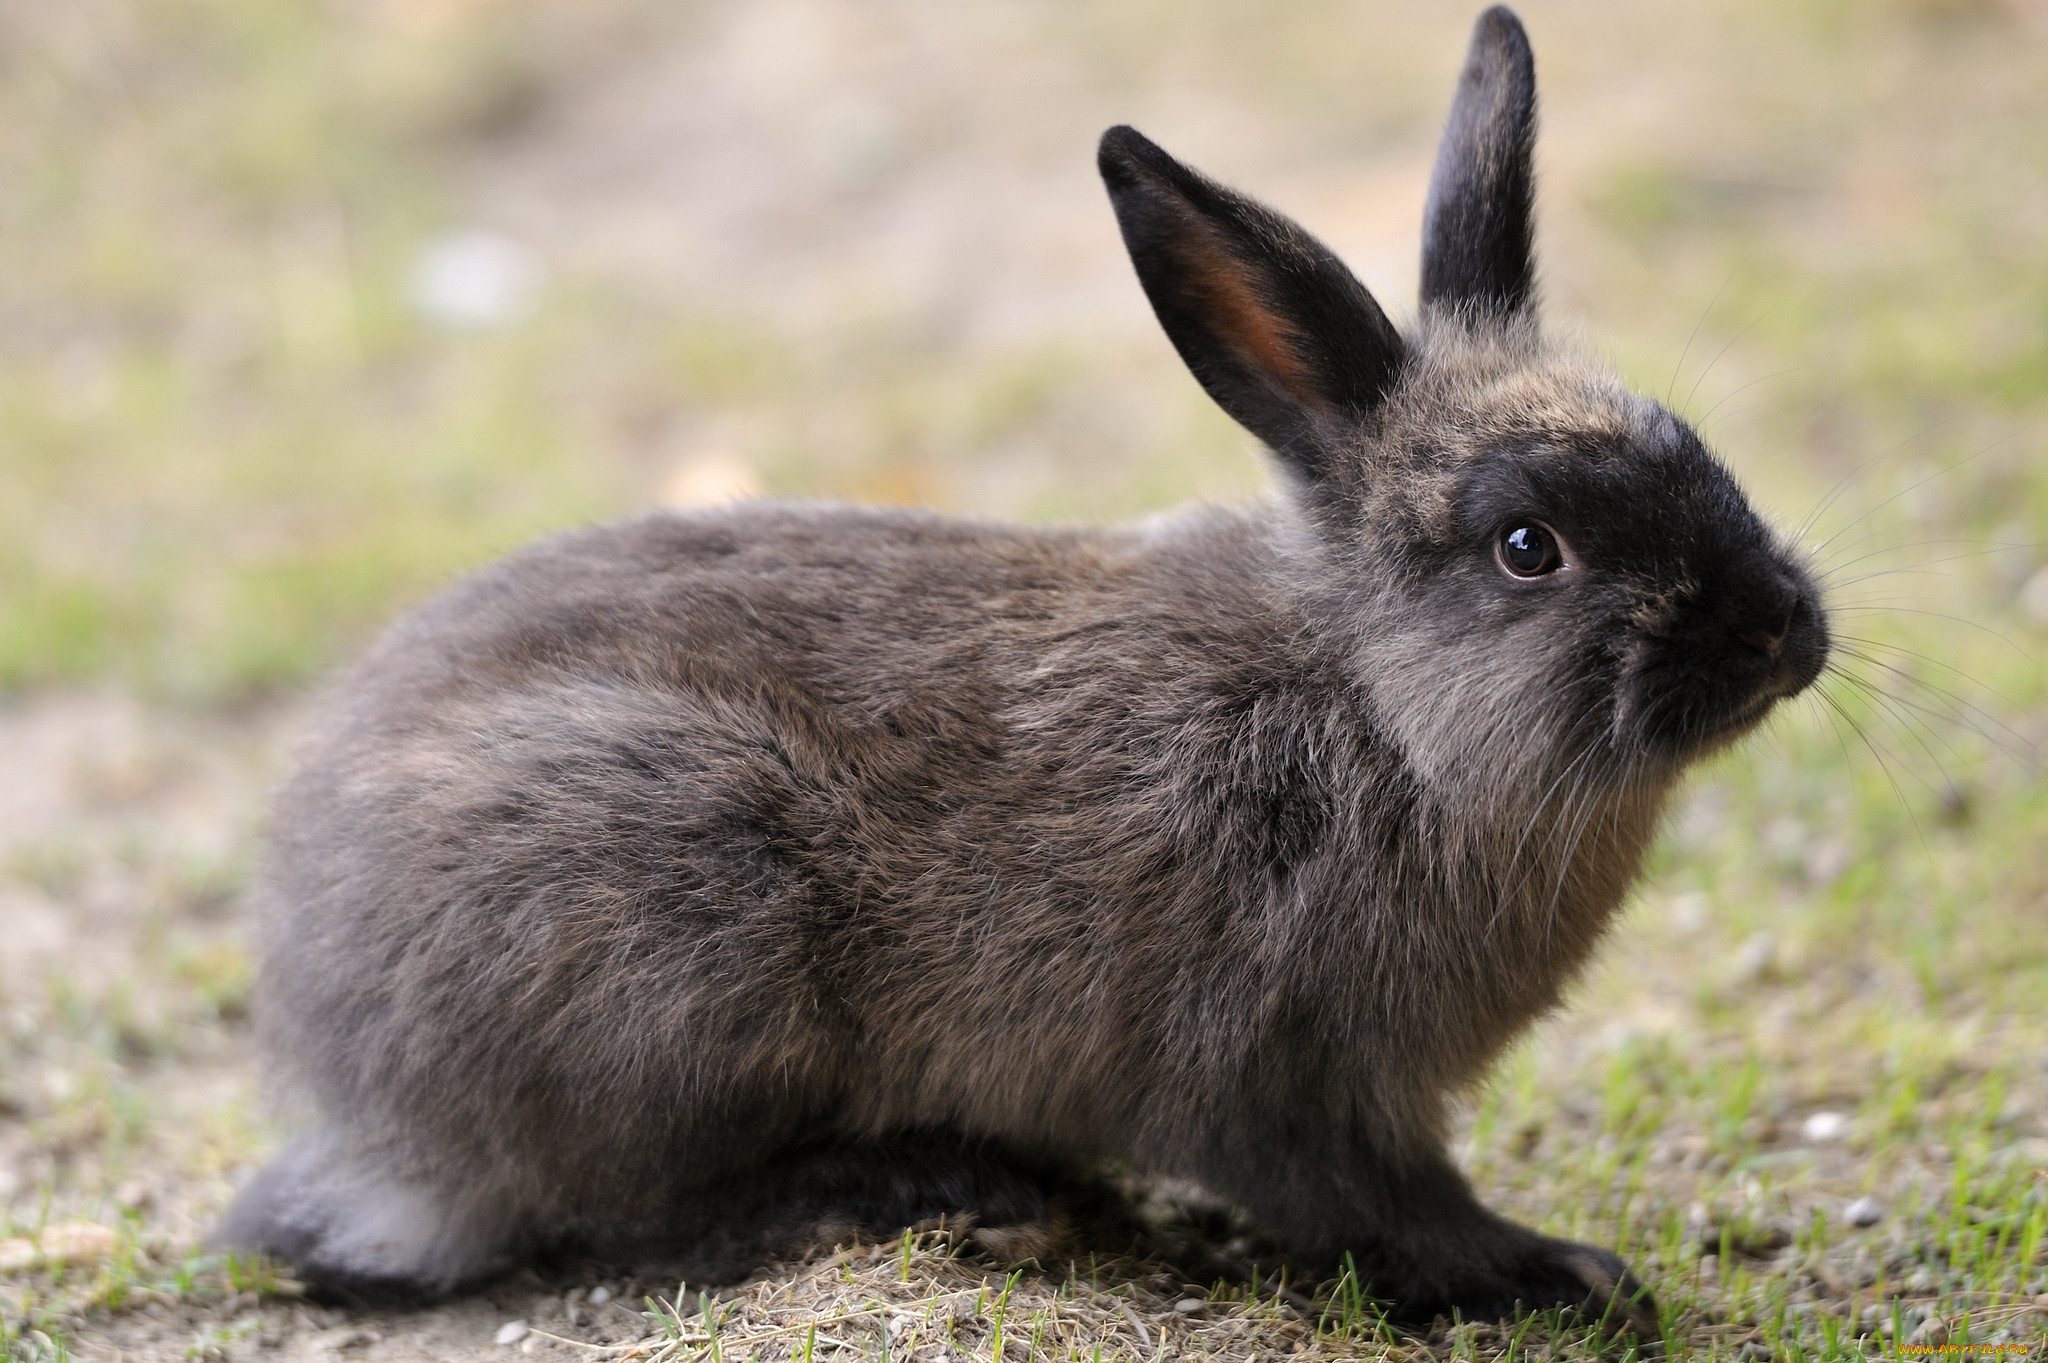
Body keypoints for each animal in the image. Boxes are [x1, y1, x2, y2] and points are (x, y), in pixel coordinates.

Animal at [216, 5, 1835, 1334]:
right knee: (630, 1212)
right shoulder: (1290, 1075)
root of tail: (348, 1076)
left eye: (1691, 442)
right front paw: (1554, 1271)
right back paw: (934, 1190)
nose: (1781, 629)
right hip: (678, 930)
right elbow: (1382, 1204)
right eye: (1524, 545)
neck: (1382, 712)